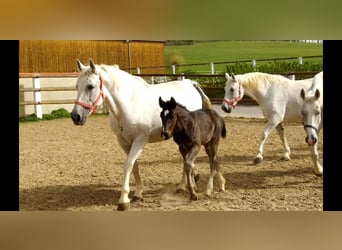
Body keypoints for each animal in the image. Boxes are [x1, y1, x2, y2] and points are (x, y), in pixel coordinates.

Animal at [71, 58, 212, 211]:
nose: (75, 116)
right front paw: (138, 194)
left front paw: (123, 200)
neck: (128, 104)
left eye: (90, 86)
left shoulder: (139, 141)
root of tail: (191, 84)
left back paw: (184, 186)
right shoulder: (124, 142)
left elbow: (128, 165)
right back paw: (186, 184)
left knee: (187, 159)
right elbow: (134, 167)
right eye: (77, 86)